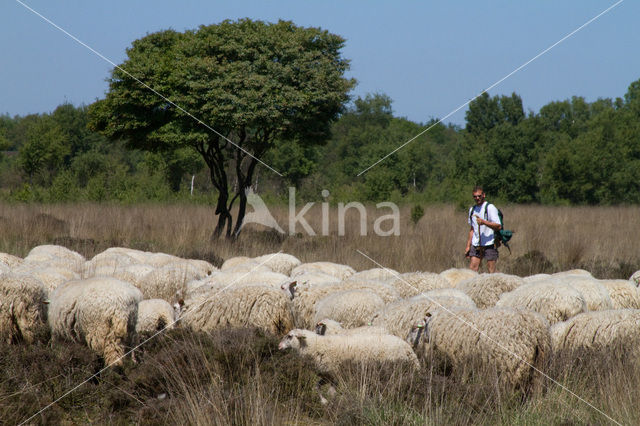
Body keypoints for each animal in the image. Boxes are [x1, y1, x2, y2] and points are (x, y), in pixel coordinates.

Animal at [278, 328, 420, 404]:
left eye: (290, 336)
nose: (279, 346)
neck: (317, 346)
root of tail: (409, 350)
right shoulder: (328, 376)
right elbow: (317, 386)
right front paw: (324, 402)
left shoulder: (335, 375)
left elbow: (331, 393)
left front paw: (330, 402)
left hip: (390, 372)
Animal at [408, 308, 552, 394]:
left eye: (415, 329)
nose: (409, 343)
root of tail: (538, 329)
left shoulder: (460, 355)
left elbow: (462, 374)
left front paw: (462, 385)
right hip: (541, 364)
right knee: (538, 389)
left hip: (513, 362)